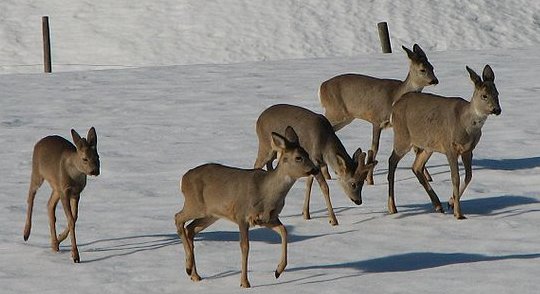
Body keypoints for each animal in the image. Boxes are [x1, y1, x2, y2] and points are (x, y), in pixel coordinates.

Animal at [22, 127, 100, 262]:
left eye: (97, 157)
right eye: (85, 158)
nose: (95, 171)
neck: (74, 175)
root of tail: (39, 142)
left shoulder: (76, 193)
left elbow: (74, 218)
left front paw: (59, 238)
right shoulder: (65, 191)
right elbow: (71, 219)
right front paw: (75, 255)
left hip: (56, 187)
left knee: (49, 205)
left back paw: (54, 244)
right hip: (37, 172)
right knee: (30, 196)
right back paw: (26, 233)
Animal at [174, 126, 316, 288]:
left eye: (307, 153)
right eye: (299, 157)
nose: (315, 169)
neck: (266, 193)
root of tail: (183, 179)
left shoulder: (269, 218)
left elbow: (284, 232)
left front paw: (278, 271)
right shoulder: (241, 215)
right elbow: (245, 247)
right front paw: (244, 282)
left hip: (210, 215)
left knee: (190, 229)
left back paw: (195, 275)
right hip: (194, 204)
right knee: (178, 217)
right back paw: (188, 267)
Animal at [320, 43, 438, 186]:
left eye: (432, 67)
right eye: (422, 69)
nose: (435, 80)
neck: (394, 97)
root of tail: (321, 87)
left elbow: (416, 148)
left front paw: (428, 177)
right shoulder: (376, 119)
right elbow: (374, 148)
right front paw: (369, 180)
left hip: (345, 118)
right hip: (334, 111)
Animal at [386, 64, 500, 219]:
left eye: (497, 93)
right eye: (484, 95)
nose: (497, 109)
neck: (466, 124)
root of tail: (395, 105)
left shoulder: (468, 150)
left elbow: (469, 176)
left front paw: (450, 203)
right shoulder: (449, 147)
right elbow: (455, 178)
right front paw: (458, 214)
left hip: (428, 145)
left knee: (416, 166)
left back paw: (438, 205)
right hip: (402, 136)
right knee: (392, 161)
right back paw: (392, 207)